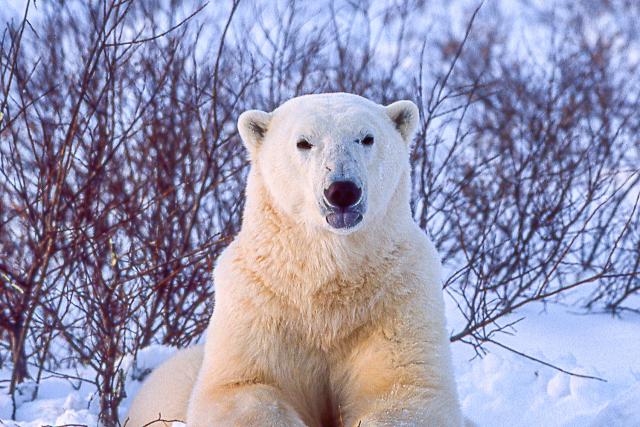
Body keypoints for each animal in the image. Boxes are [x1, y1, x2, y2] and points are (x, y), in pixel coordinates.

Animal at [124, 93, 463, 426]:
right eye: (304, 142)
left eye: (367, 138)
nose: (342, 190)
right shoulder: (259, 305)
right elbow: (239, 388)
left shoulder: (395, 300)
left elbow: (406, 387)